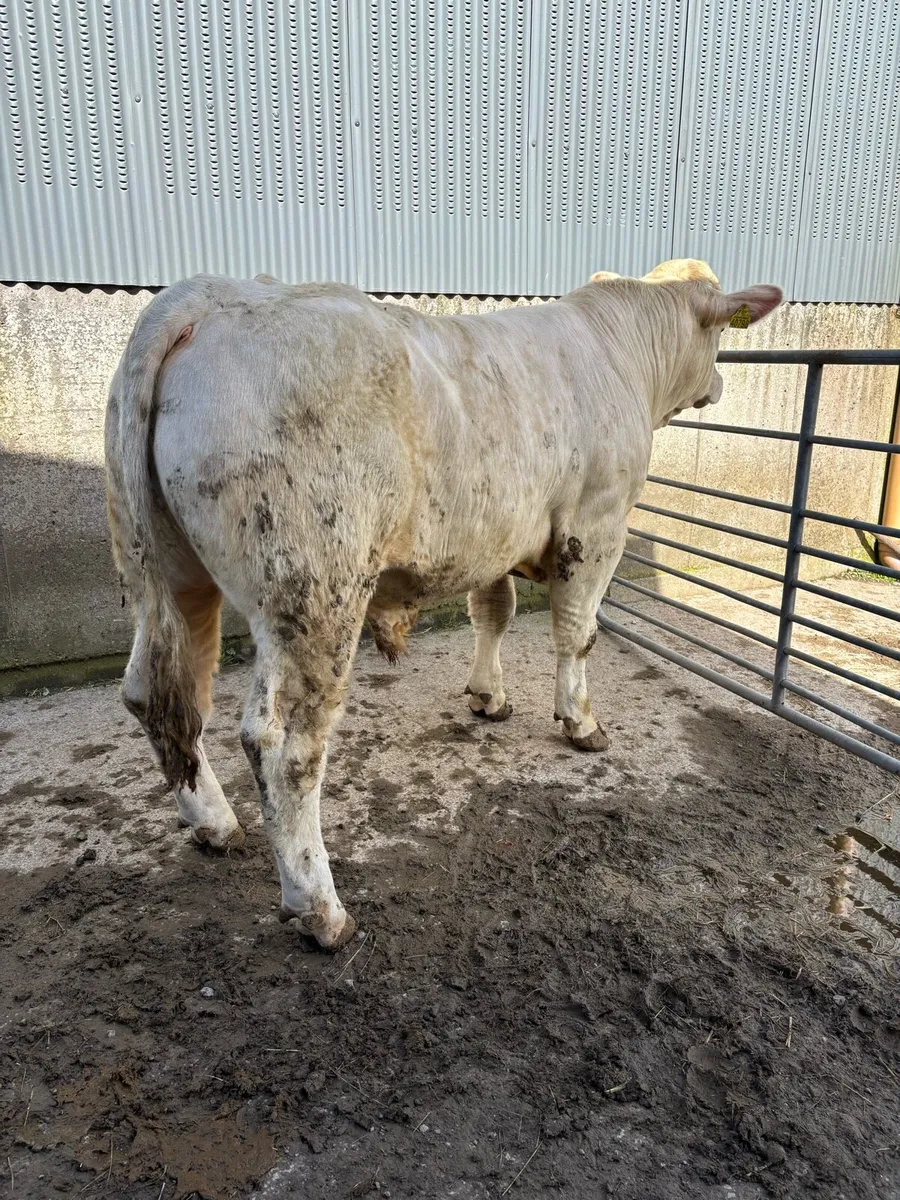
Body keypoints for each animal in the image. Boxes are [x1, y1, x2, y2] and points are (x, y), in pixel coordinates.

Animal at [105, 259, 782, 948]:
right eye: (719, 334)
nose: (720, 384)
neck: (621, 348)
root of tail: (207, 294)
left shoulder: (496, 534)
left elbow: (495, 612)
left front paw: (488, 696)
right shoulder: (597, 525)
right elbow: (578, 632)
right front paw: (581, 722)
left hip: (163, 570)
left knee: (153, 692)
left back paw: (213, 823)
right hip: (312, 590)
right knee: (281, 745)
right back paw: (319, 907)